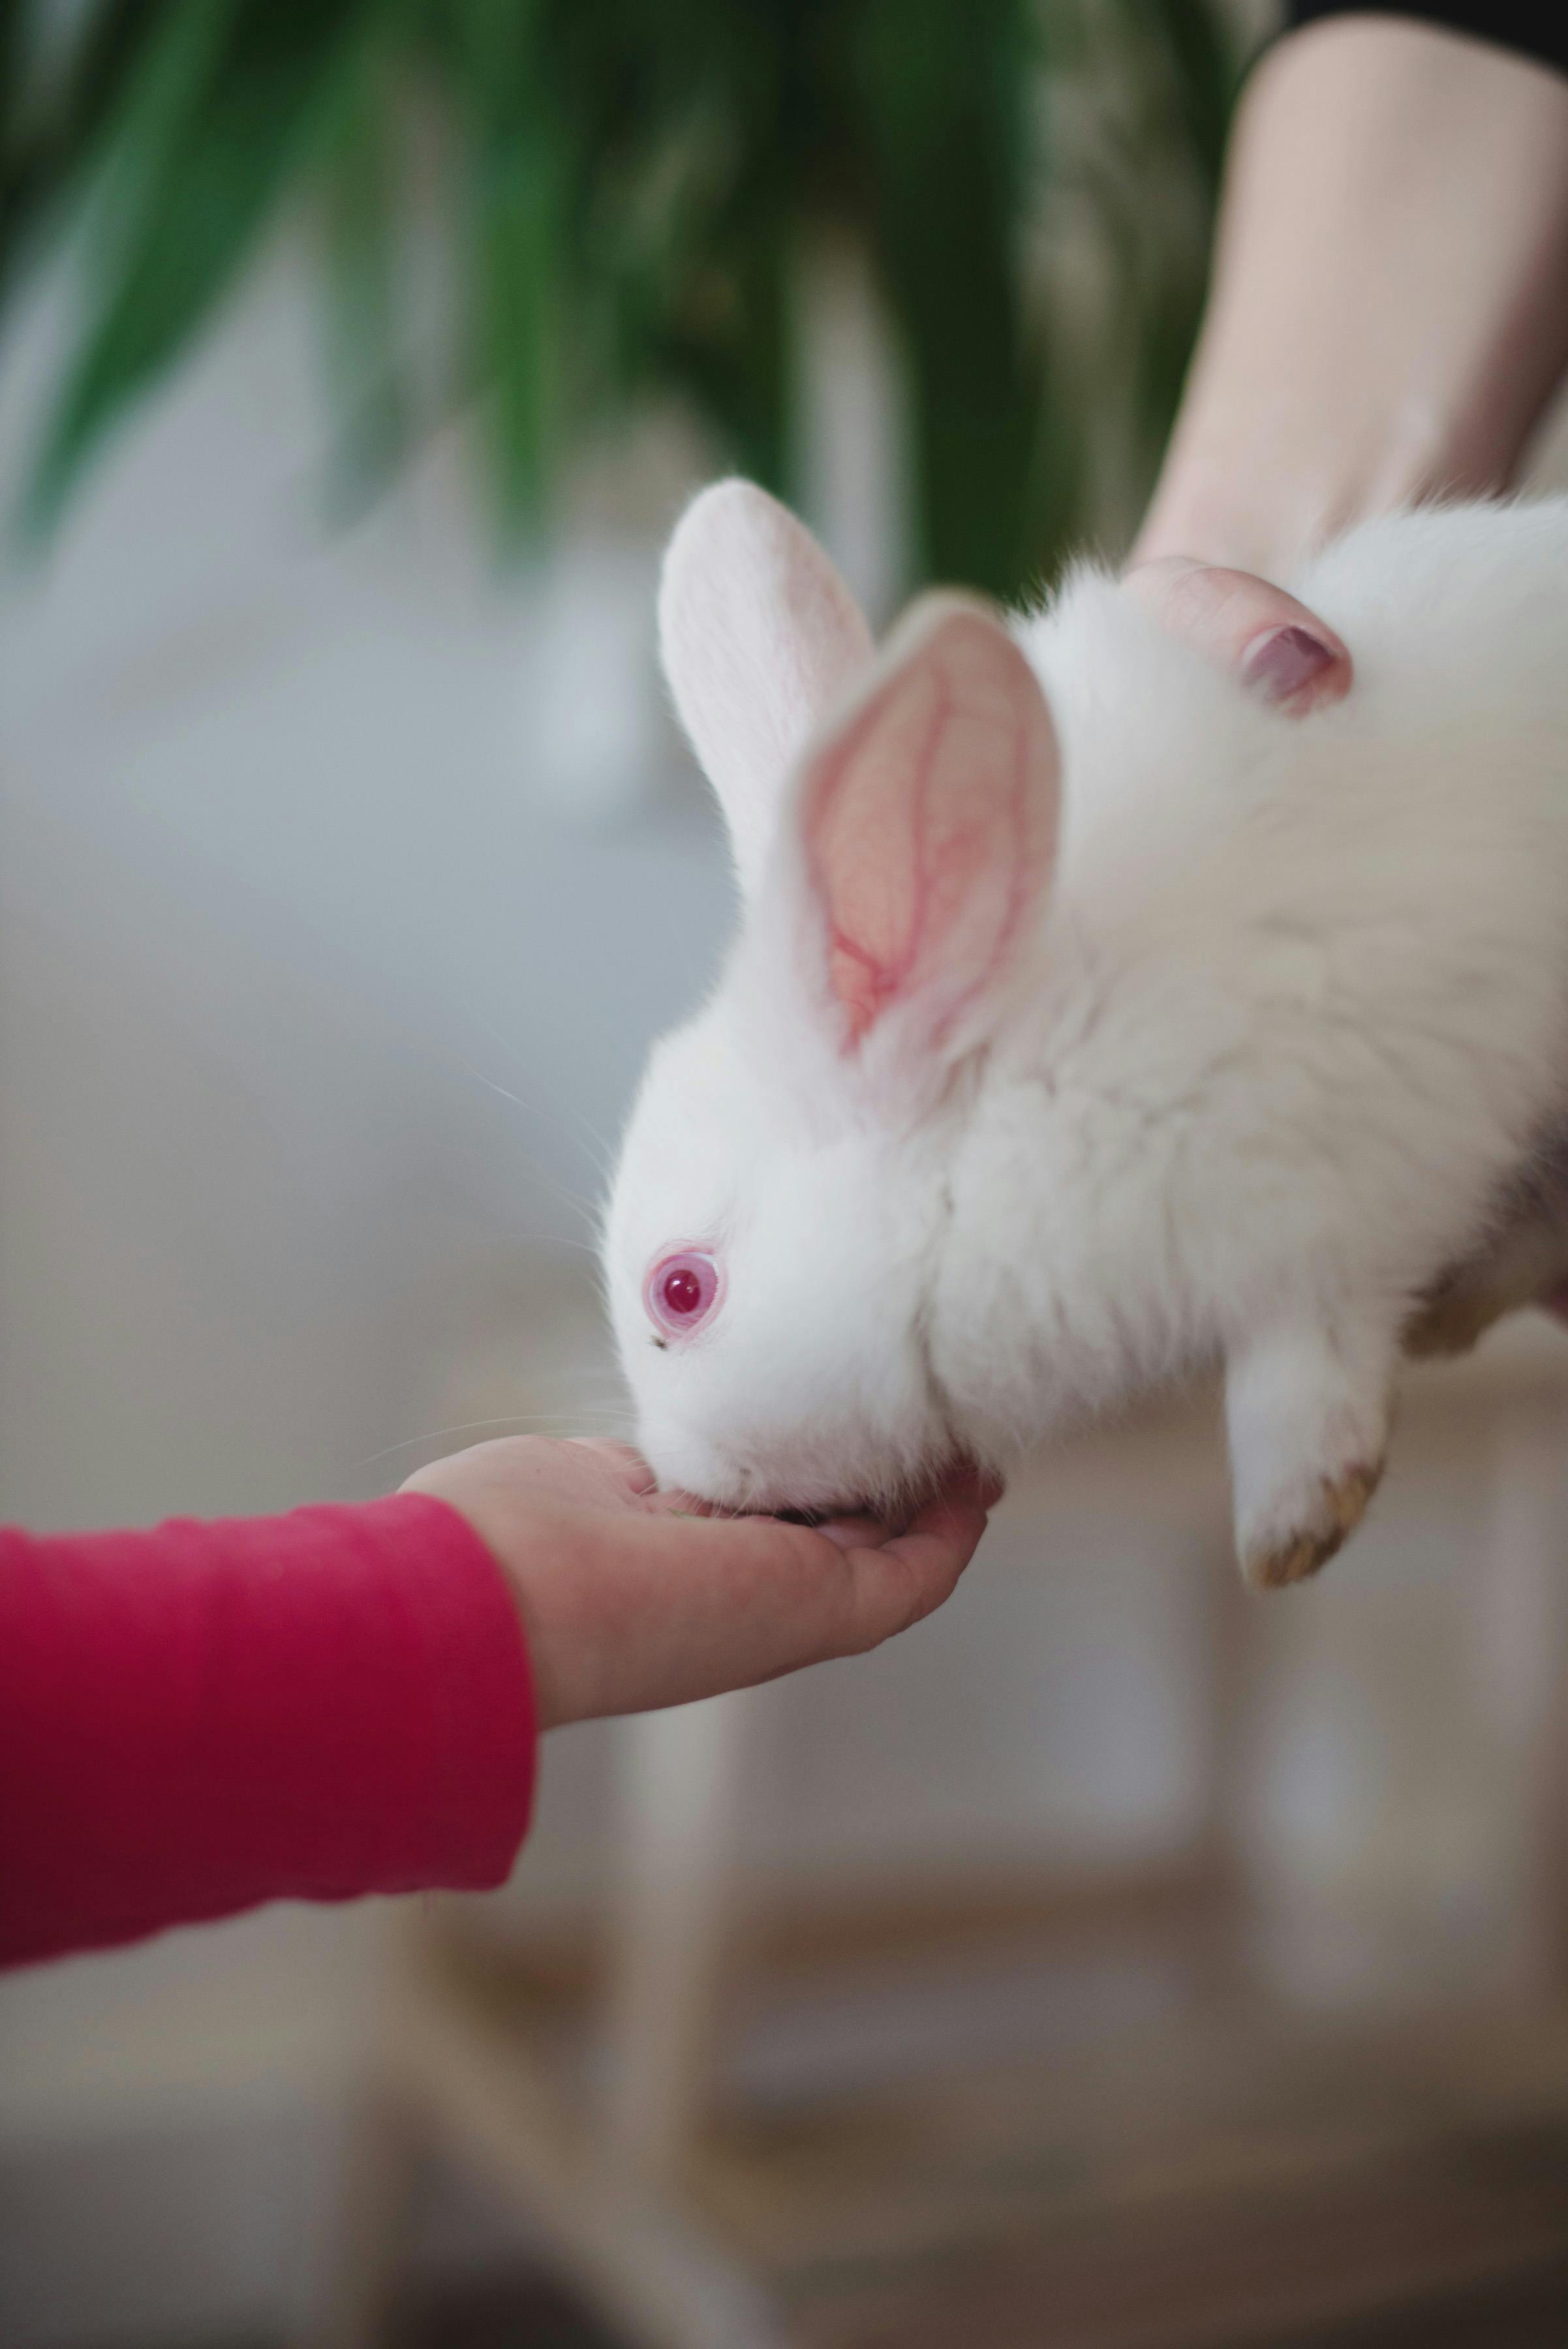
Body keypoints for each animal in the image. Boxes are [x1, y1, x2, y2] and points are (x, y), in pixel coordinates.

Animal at [606, 479, 1568, 1588]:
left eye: (680, 1292)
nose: (685, 1473)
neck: (1020, 1090)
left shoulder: (1339, 1193)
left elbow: (1304, 1365)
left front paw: (1289, 1528)